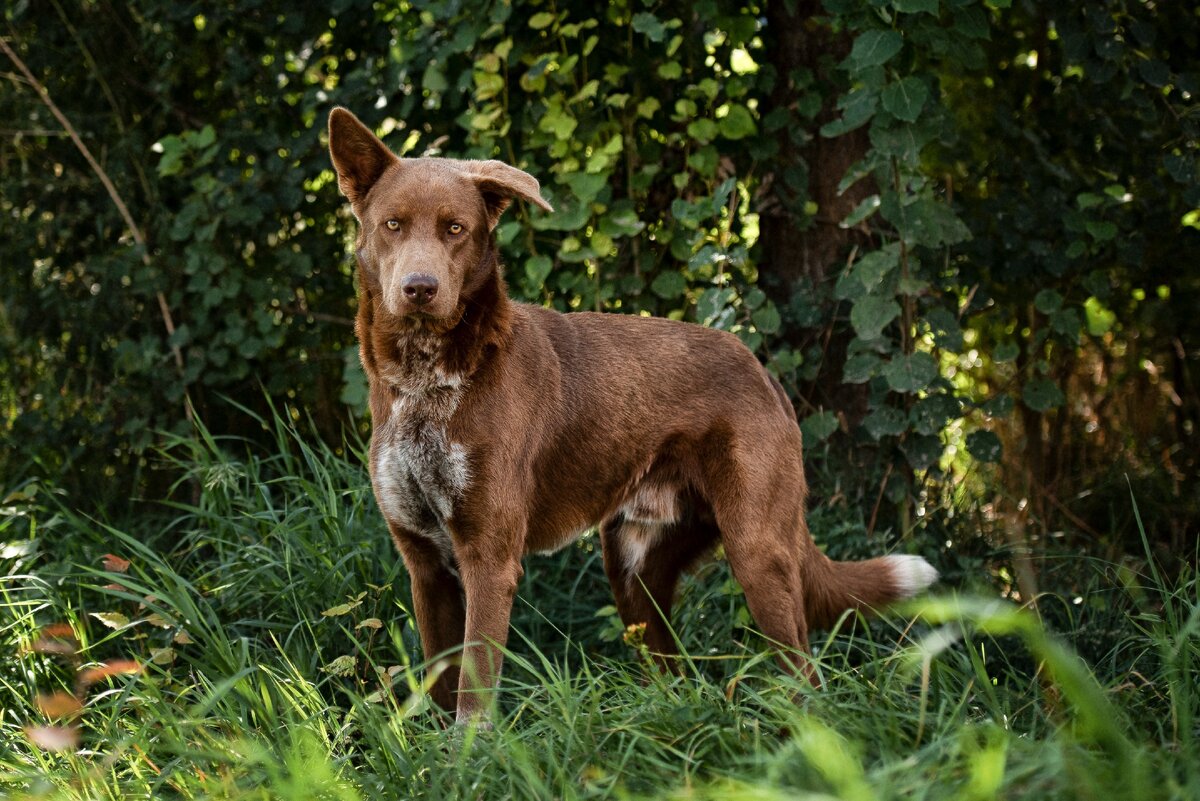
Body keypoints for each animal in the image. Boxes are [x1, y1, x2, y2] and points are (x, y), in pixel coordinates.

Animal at [328, 103, 936, 724]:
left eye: (456, 229)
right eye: (393, 225)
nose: (419, 288)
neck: (425, 382)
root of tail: (761, 369)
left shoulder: (488, 559)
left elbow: (473, 697)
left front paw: (469, 748)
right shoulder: (425, 564)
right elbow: (440, 685)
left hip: (757, 551)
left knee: (803, 674)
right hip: (633, 573)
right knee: (675, 674)